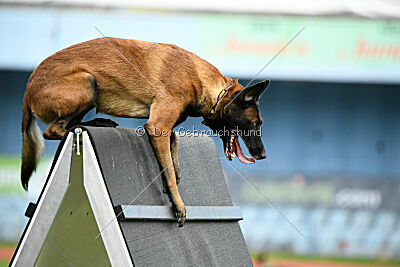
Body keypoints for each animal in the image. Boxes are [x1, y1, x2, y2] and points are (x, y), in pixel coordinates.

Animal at [20, 37, 268, 226]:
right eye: (255, 124)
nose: (263, 155)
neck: (204, 83)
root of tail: (28, 88)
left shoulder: (163, 124)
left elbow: (174, 144)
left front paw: (176, 168)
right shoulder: (157, 126)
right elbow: (168, 169)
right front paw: (177, 203)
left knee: (69, 124)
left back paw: (98, 122)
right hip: (88, 82)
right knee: (53, 131)